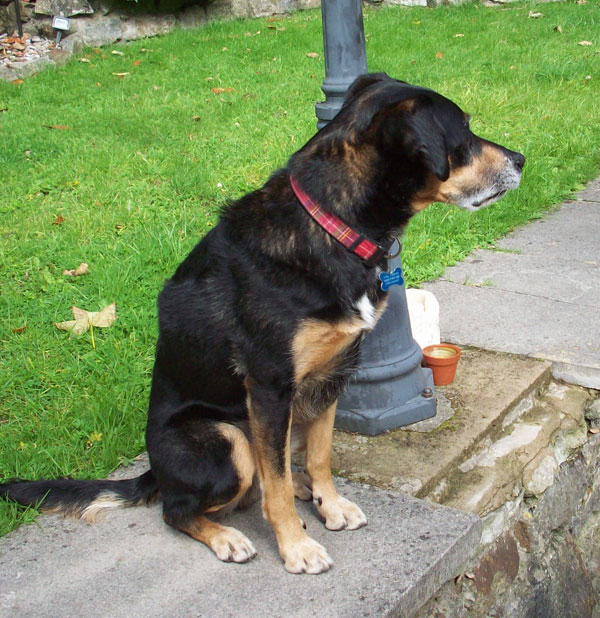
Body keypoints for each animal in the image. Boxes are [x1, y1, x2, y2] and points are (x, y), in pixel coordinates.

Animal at [0, 73, 524, 572]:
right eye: (464, 132)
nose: (520, 158)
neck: (331, 224)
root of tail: (154, 471)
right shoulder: (270, 385)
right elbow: (273, 487)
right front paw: (296, 547)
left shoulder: (333, 374)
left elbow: (319, 455)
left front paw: (329, 505)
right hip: (229, 441)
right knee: (181, 508)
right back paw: (227, 536)